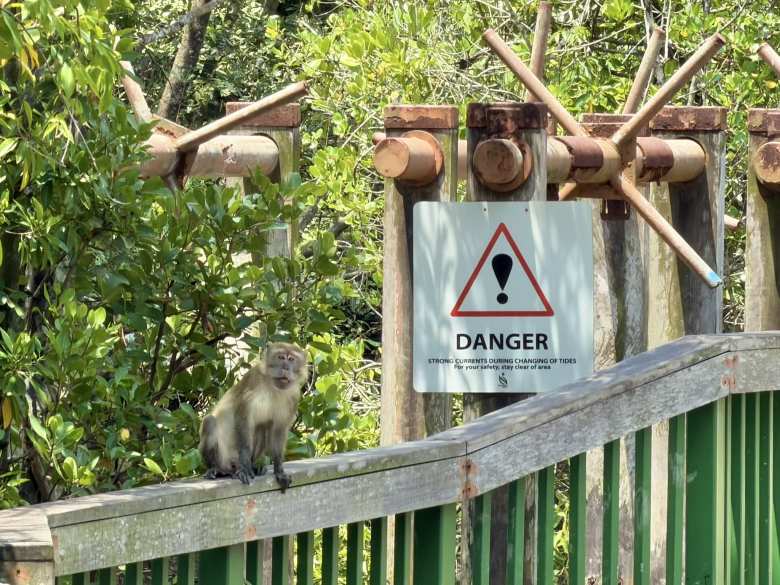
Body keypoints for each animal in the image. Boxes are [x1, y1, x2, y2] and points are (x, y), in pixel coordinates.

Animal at [198, 342, 308, 491]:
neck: (273, 386)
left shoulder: (293, 397)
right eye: (281, 357)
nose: (285, 367)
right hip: (224, 457)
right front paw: (245, 468)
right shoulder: (253, 381)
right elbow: (243, 419)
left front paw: (279, 469)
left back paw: (255, 467)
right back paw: (219, 469)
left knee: (262, 427)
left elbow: (279, 429)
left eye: (291, 359)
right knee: (210, 422)